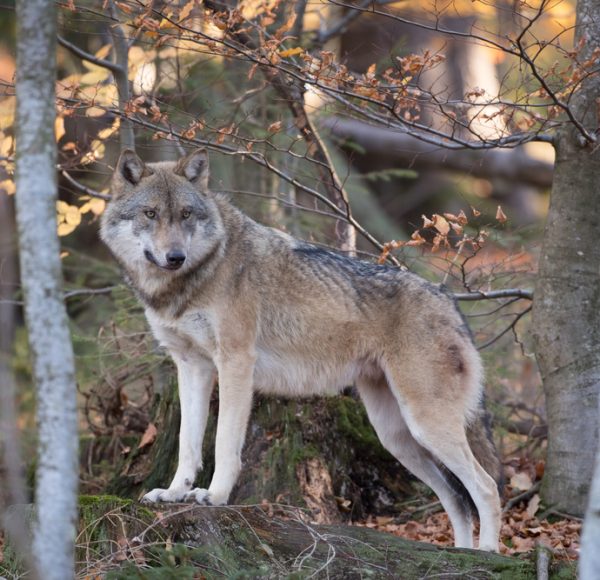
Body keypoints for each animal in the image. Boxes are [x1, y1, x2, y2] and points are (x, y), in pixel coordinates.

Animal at [101, 147, 504, 552]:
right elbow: (189, 442)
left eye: (185, 214)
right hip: (397, 437)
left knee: (487, 487)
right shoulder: (191, 366)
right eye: (150, 213)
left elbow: (224, 442)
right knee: (456, 498)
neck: (196, 275)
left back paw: (487, 552)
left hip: (425, 425)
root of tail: (450, 300)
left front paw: (214, 497)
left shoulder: (235, 362)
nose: (176, 257)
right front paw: (173, 493)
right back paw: (464, 553)